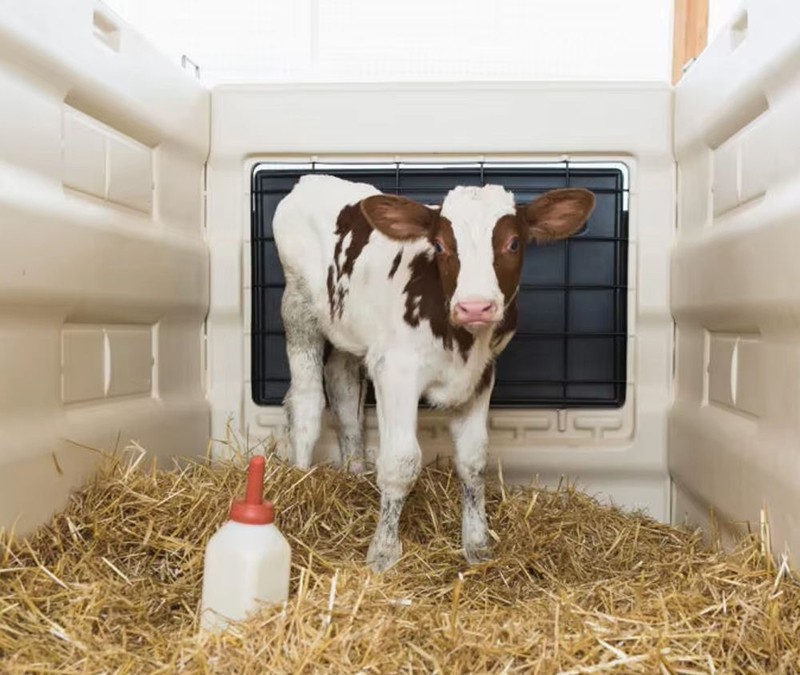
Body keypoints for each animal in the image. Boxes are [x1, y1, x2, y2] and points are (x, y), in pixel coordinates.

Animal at [273, 174, 595, 572]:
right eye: (440, 245)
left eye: (514, 242)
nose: (475, 306)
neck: (462, 342)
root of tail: (312, 178)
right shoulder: (396, 371)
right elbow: (401, 462)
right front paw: (382, 554)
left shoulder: (481, 375)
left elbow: (473, 461)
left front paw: (477, 546)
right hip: (298, 306)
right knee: (306, 401)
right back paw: (298, 482)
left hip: (349, 330)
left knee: (343, 389)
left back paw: (355, 473)